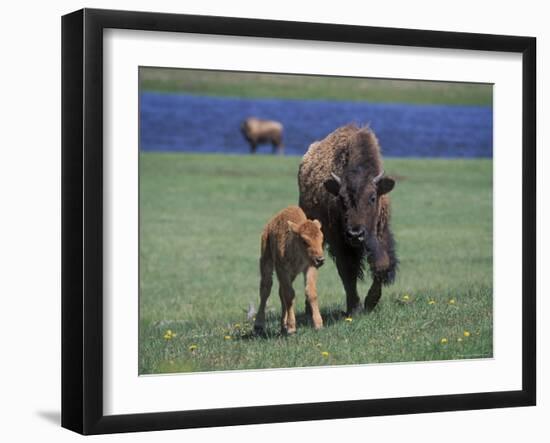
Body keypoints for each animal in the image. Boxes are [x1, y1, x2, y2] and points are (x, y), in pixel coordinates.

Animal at [256, 206, 326, 334]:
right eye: (304, 241)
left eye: (321, 239)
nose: (320, 259)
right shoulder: (282, 270)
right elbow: (289, 295)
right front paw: (291, 328)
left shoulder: (310, 268)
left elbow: (310, 292)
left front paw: (318, 324)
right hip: (266, 260)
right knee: (265, 289)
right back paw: (258, 325)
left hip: (292, 275)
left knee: (280, 292)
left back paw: (283, 325)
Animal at [300, 123, 398, 314]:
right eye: (341, 199)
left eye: (373, 197)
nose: (355, 234)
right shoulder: (339, 242)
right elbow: (348, 271)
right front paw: (355, 308)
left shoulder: (380, 232)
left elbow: (382, 264)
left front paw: (370, 302)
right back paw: (309, 310)